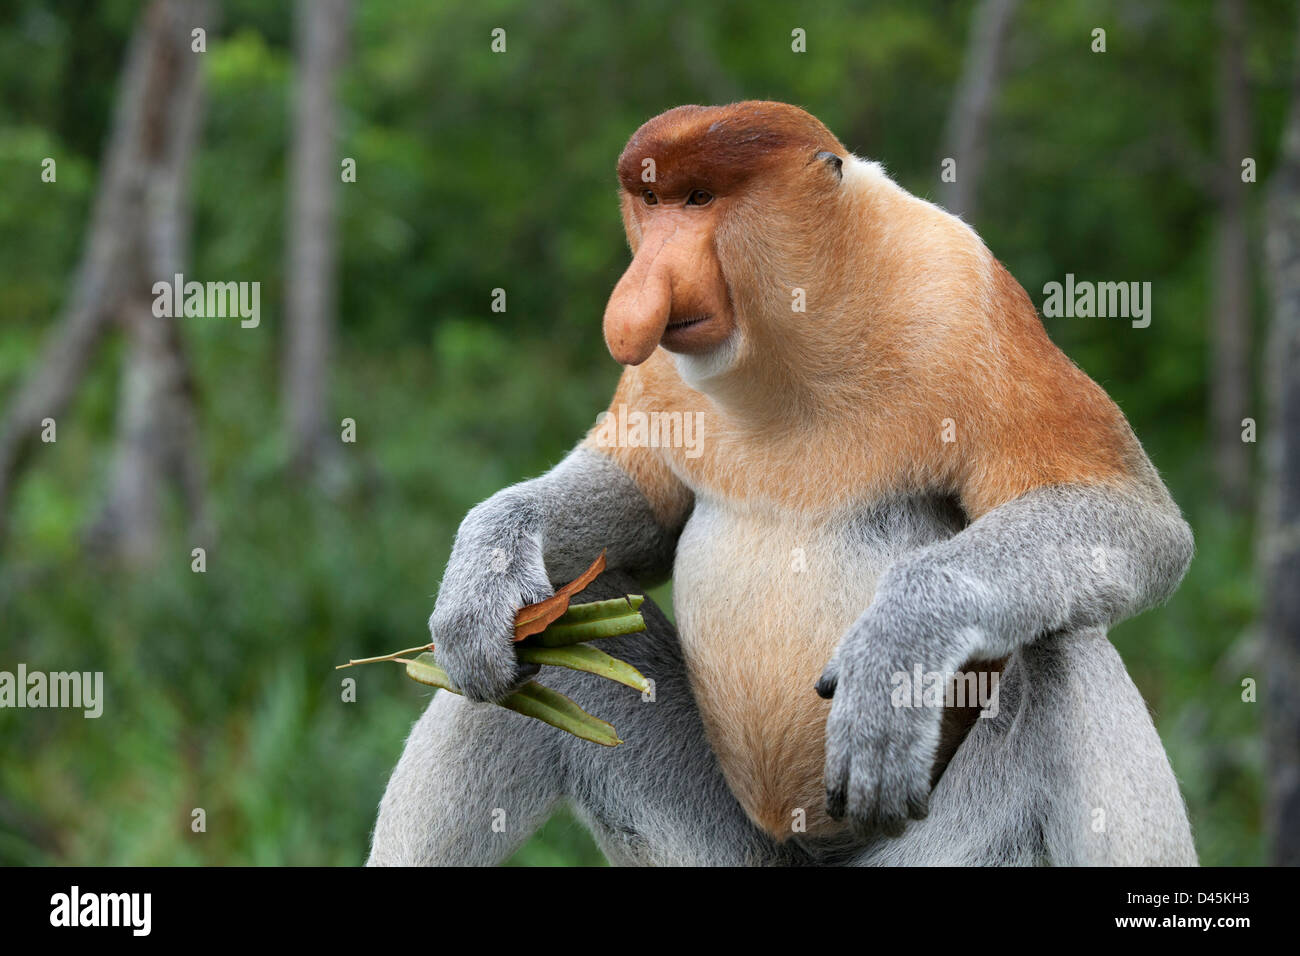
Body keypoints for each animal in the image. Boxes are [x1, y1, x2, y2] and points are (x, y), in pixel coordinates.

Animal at [369, 100, 1196, 863]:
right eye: (652, 202)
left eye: (700, 199)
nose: (638, 296)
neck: (794, 337)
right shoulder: (664, 373)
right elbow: (643, 505)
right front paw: (481, 574)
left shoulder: (967, 299)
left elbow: (1135, 516)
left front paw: (896, 653)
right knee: (550, 631)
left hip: (950, 842)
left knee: (1066, 647)